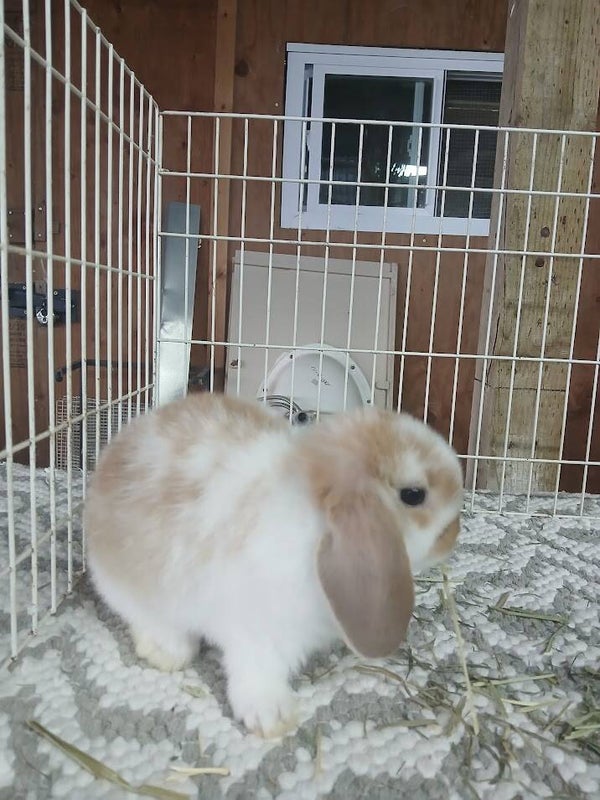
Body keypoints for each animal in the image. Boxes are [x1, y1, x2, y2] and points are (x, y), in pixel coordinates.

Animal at [84, 392, 463, 739]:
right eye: (414, 495)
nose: (454, 534)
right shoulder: (255, 633)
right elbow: (256, 673)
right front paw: (273, 718)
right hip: (128, 587)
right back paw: (168, 651)